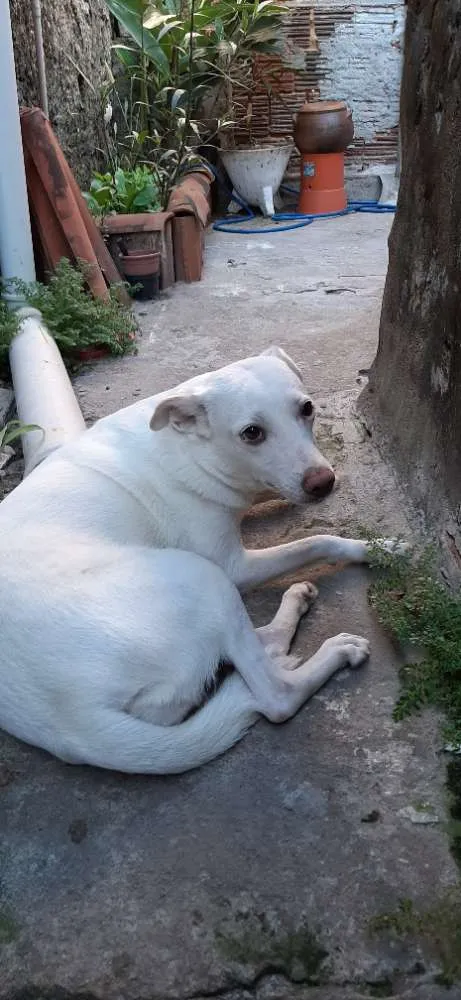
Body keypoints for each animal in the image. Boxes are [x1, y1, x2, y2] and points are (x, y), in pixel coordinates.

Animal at [0, 348, 396, 776]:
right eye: (251, 433)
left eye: (307, 408)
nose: (323, 483)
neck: (188, 445)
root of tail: (70, 724)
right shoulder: (235, 565)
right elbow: (318, 541)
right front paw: (380, 548)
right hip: (204, 578)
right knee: (275, 696)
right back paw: (328, 652)